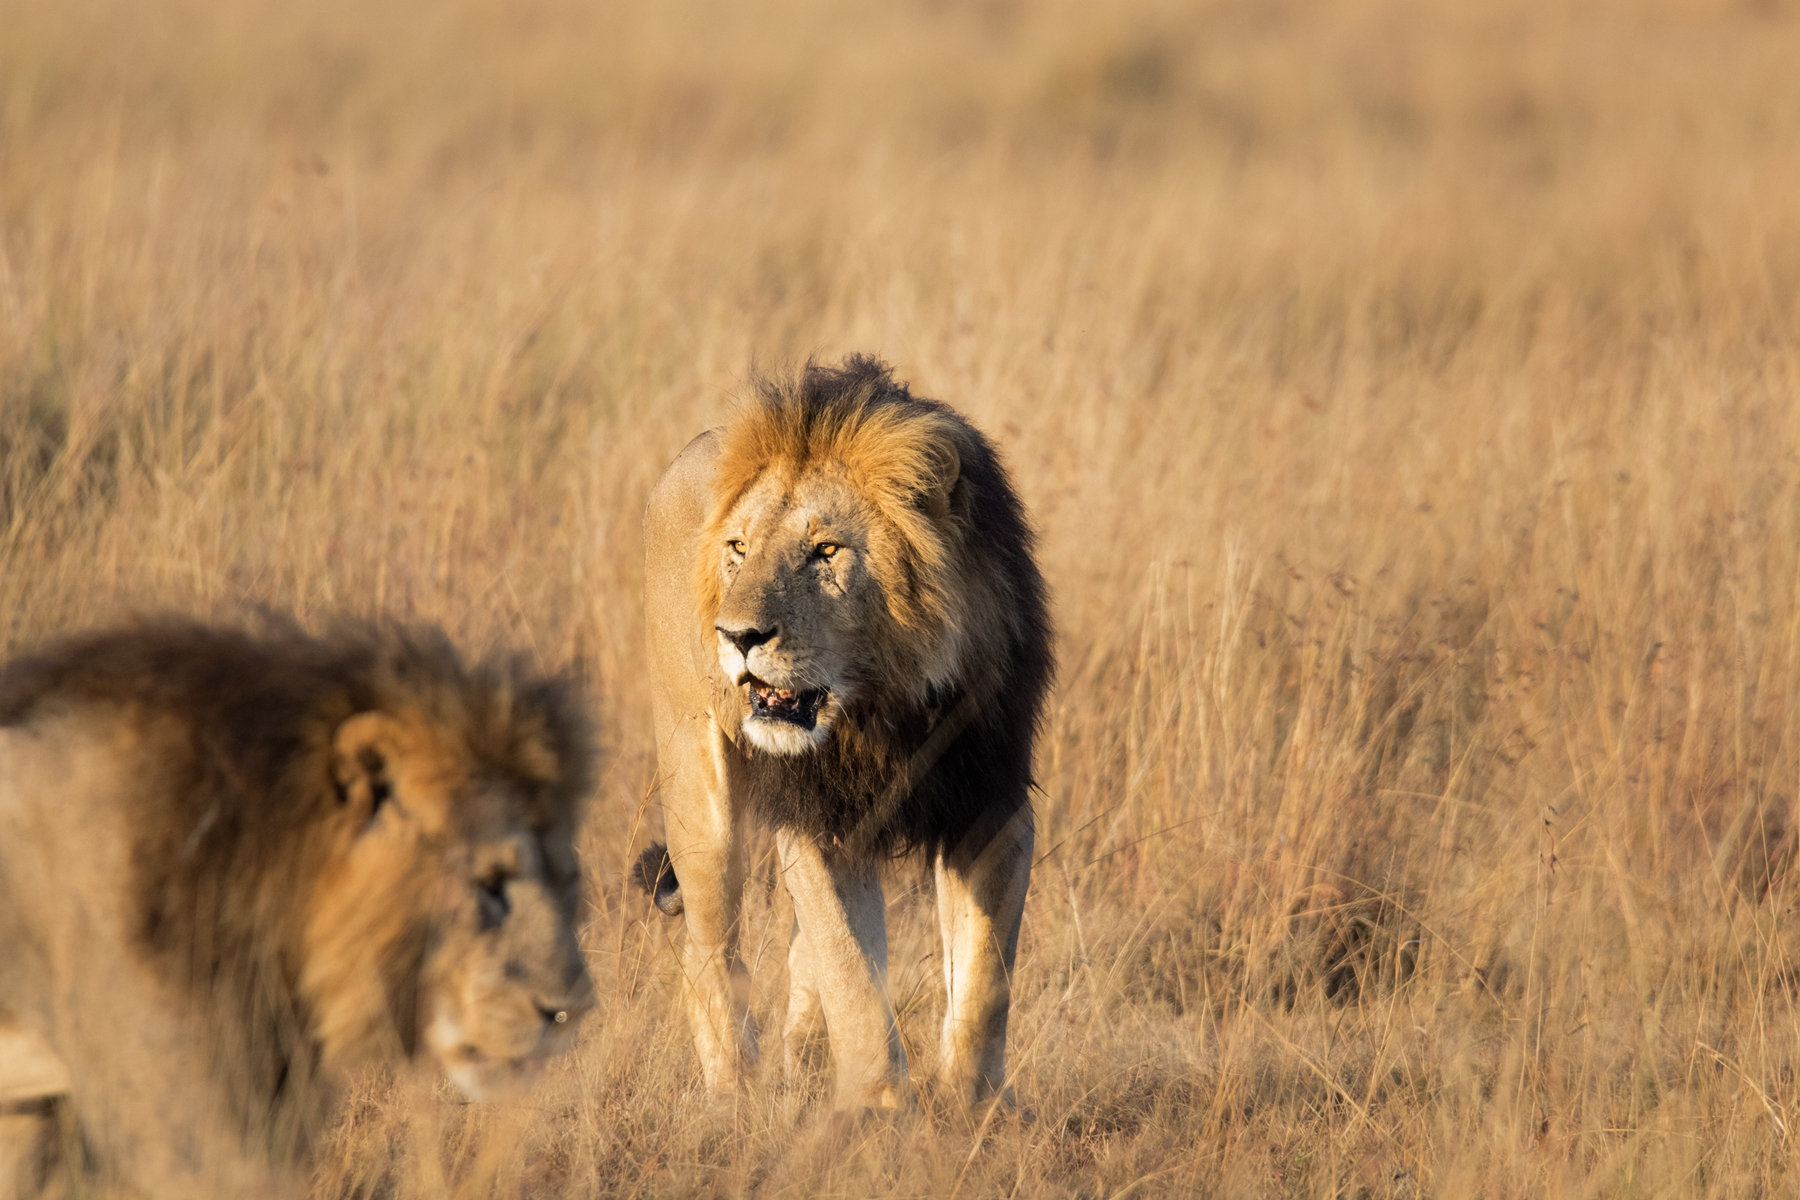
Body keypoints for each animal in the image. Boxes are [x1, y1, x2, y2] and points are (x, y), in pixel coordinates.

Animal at [637, 359, 1051, 1115]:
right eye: (739, 550)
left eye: (824, 551)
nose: (736, 636)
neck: (882, 703)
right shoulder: (817, 817)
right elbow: (851, 970)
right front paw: (882, 1107)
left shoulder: (990, 800)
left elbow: (986, 976)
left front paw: (976, 1107)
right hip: (698, 788)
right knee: (709, 951)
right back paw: (736, 1095)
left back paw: (800, 1062)